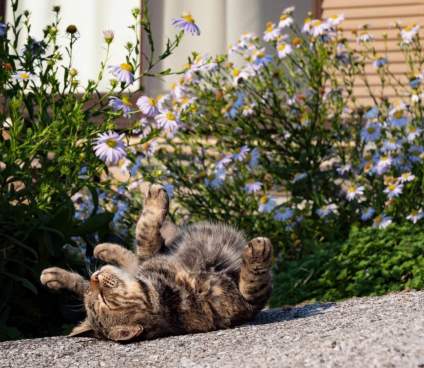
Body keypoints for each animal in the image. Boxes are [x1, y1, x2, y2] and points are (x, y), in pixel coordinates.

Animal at [39, 184, 272, 342]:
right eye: (103, 301)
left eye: (97, 298)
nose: (95, 278)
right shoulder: (244, 304)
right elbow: (253, 283)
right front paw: (258, 252)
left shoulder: (158, 255)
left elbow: (145, 237)